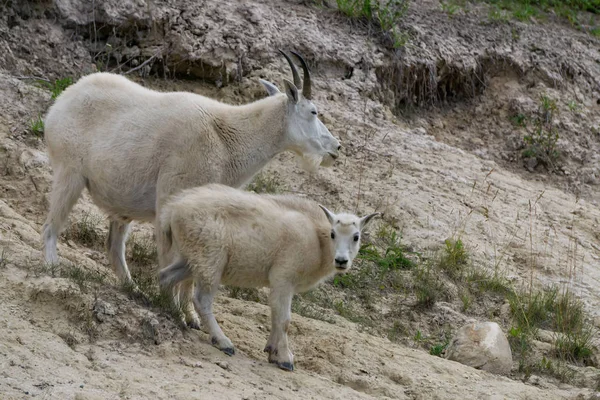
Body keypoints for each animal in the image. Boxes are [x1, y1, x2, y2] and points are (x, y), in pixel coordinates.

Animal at [41, 50, 342, 328]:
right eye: (313, 111)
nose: (336, 148)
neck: (225, 137)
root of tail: (63, 99)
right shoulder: (169, 199)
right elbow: (169, 259)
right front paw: (173, 309)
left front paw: (190, 317)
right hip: (69, 174)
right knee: (51, 225)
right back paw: (52, 269)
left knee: (114, 248)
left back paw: (135, 291)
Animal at [156, 184, 380, 372]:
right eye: (333, 234)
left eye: (356, 237)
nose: (341, 261)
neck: (318, 241)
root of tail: (171, 211)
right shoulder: (283, 277)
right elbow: (284, 319)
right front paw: (285, 359)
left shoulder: (282, 284)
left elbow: (275, 315)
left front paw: (272, 351)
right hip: (211, 258)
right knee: (201, 299)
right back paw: (223, 342)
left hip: (191, 258)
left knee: (165, 277)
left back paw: (174, 314)